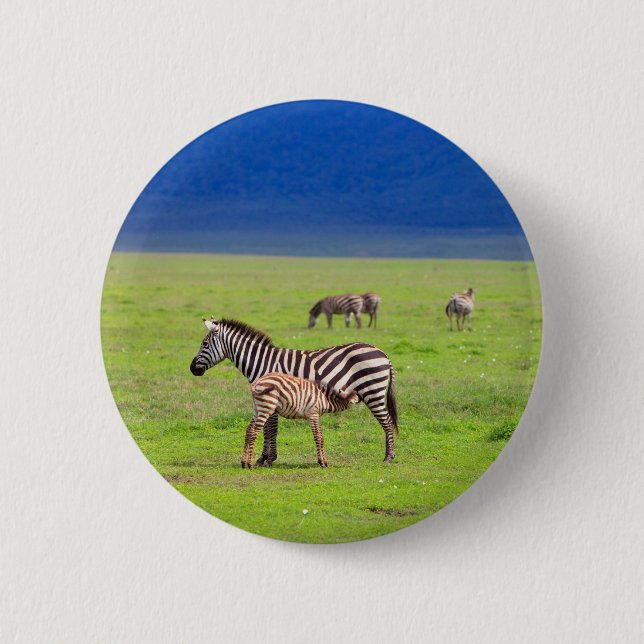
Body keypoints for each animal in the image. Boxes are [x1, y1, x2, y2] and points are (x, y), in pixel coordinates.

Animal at [190, 316, 399, 463]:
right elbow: (266, 429)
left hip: (373, 391)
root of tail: (383, 353)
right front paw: (264, 458)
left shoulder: (272, 397)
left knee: (387, 421)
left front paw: (267, 459)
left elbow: (270, 430)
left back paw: (388, 457)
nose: (192, 369)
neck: (261, 362)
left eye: (204, 344)